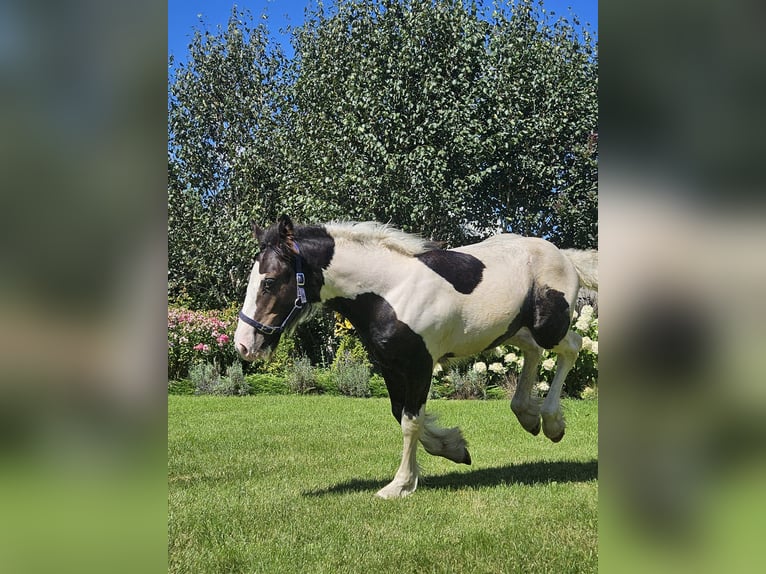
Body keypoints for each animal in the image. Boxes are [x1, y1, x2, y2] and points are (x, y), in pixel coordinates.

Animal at [234, 216, 600, 500]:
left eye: (269, 282)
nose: (243, 345)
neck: (391, 291)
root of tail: (565, 256)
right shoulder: (390, 366)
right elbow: (401, 414)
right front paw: (455, 448)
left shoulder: (421, 365)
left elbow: (411, 421)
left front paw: (399, 485)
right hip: (514, 330)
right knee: (534, 351)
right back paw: (527, 415)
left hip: (548, 327)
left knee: (573, 345)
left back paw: (551, 423)